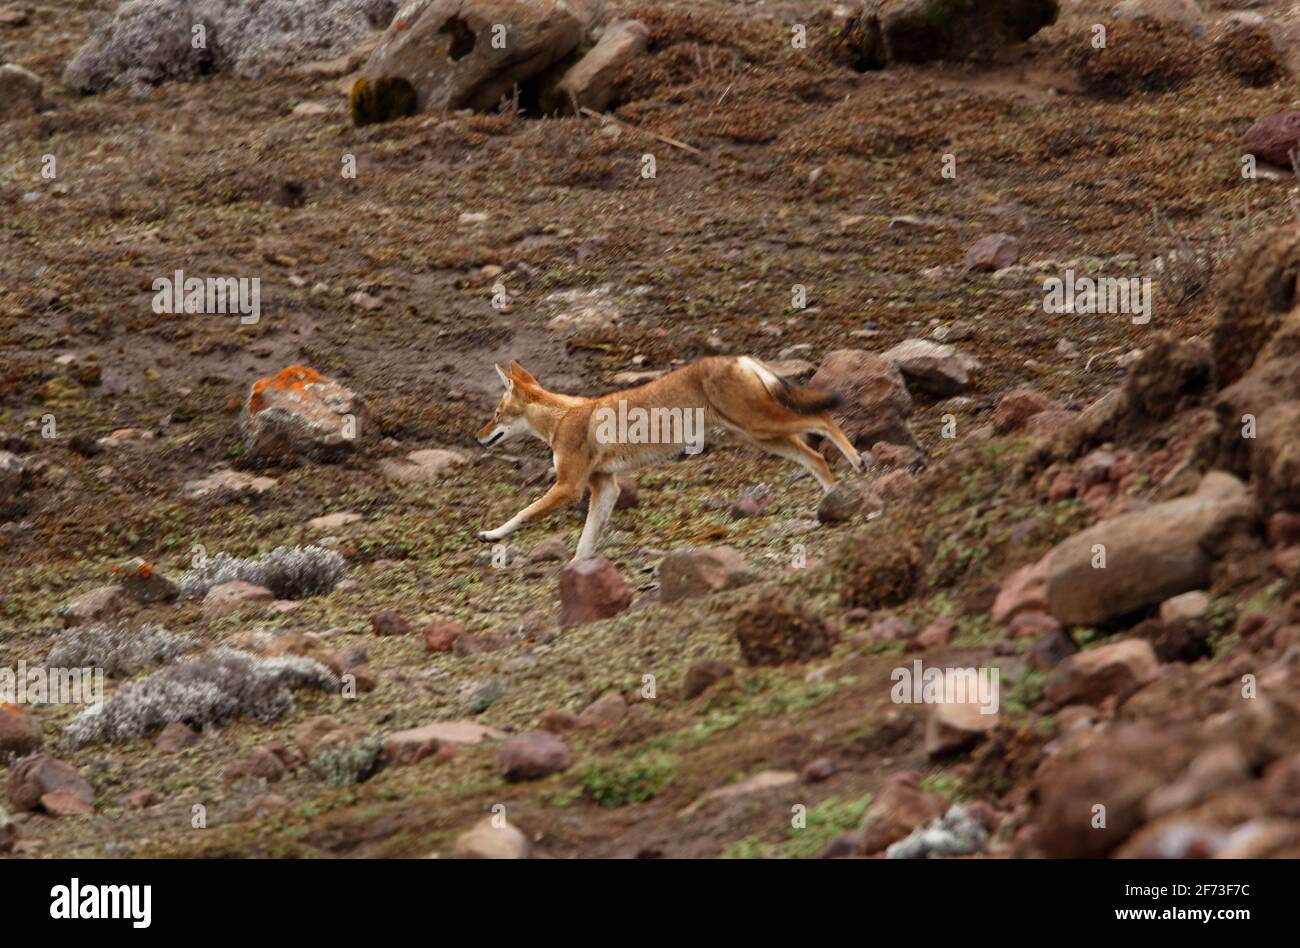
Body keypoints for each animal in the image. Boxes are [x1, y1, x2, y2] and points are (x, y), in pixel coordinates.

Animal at [476, 356, 861, 561]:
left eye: (496, 414)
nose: (477, 437)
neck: (562, 417)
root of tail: (739, 358)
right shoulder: (605, 487)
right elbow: (585, 542)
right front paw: (577, 570)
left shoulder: (569, 487)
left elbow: (522, 513)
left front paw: (491, 534)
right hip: (763, 434)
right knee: (816, 458)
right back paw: (833, 501)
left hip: (763, 425)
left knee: (824, 420)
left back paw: (857, 463)